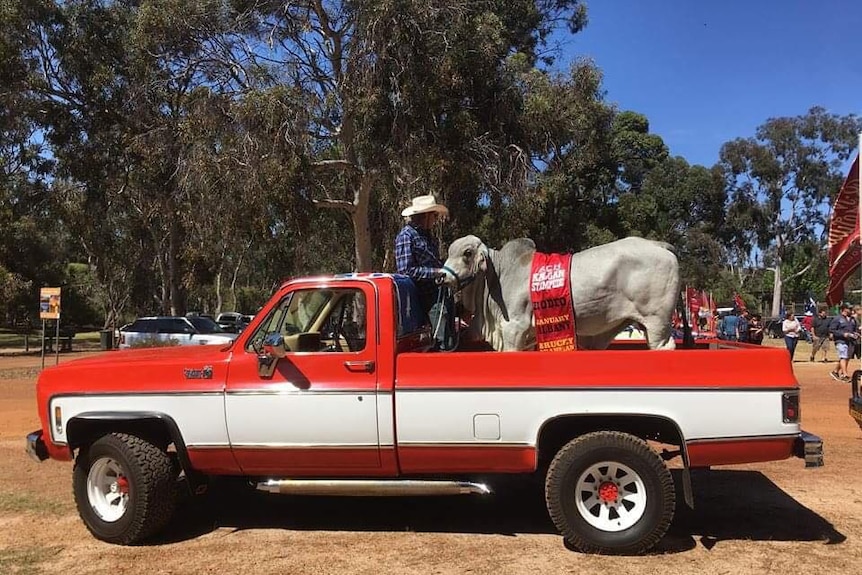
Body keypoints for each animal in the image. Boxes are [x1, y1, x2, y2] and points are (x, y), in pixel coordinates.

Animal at [446, 234, 680, 352]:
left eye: (467, 253)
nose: (442, 276)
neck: (500, 273)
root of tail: (658, 244)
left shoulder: (514, 329)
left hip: (657, 321)